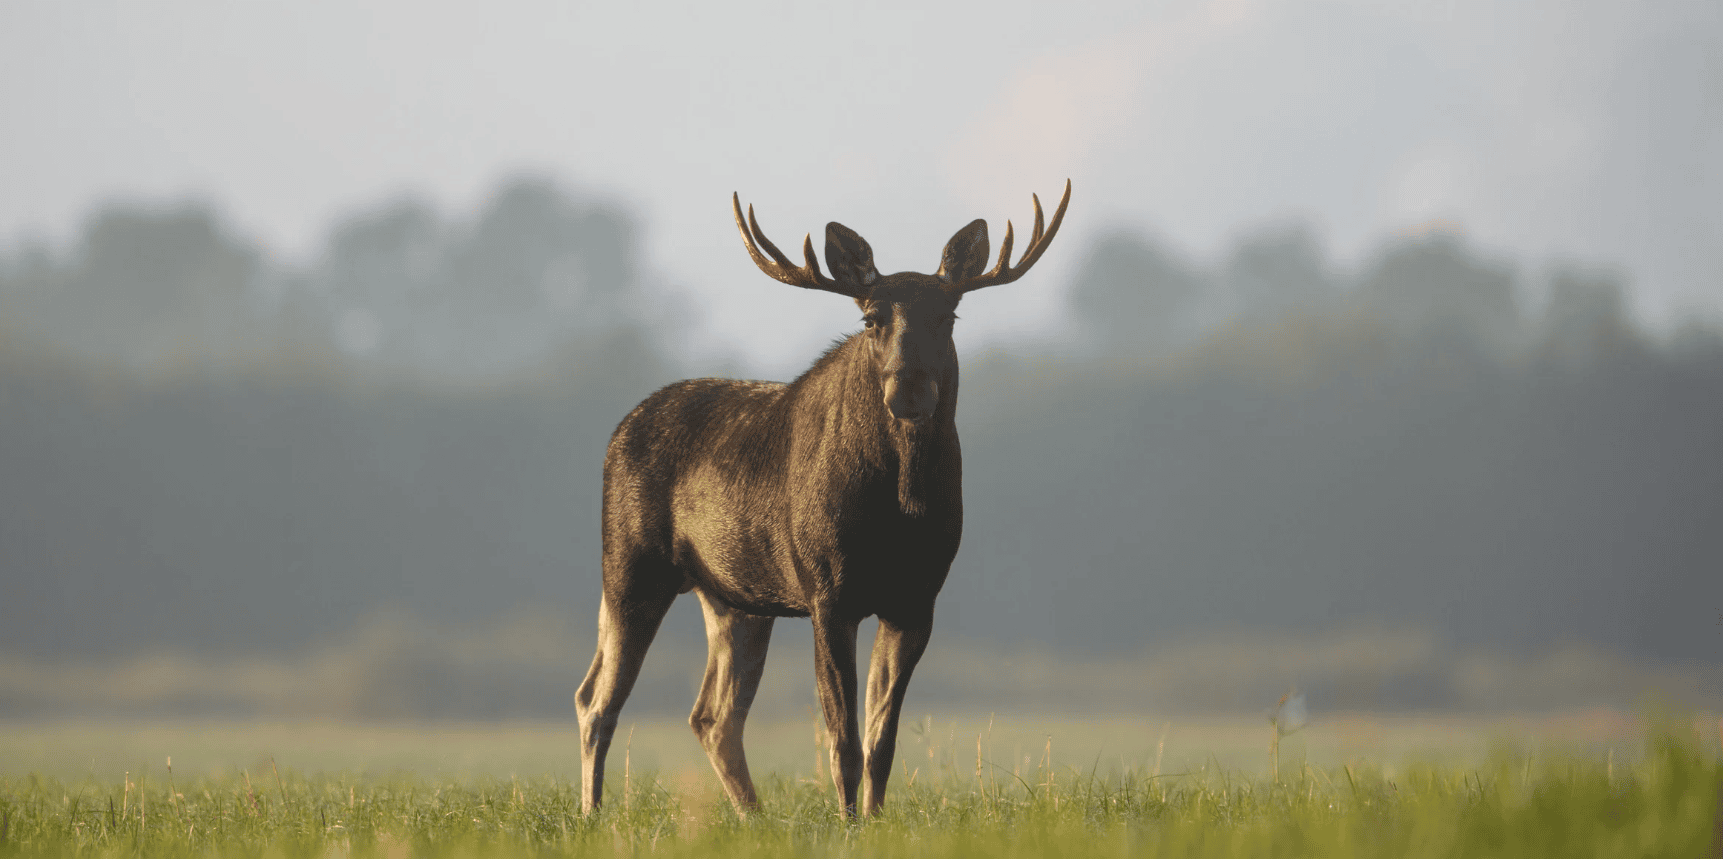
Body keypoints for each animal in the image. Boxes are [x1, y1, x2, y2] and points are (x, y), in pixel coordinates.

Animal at [574, 181, 1071, 817]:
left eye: (949, 314)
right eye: (870, 318)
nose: (909, 387)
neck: (900, 509)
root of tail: (619, 432)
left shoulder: (917, 599)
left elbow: (882, 740)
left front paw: (878, 821)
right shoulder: (827, 591)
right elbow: (844, 741)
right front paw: (849, 823)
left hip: (735, 598)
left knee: (711, 716)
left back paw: (753, 817)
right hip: (630, 564)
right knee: (597, 699)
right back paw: (592, 814)